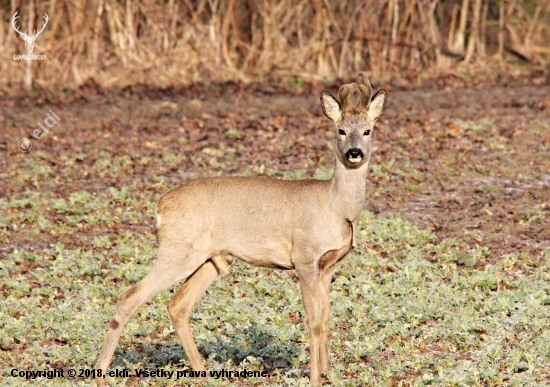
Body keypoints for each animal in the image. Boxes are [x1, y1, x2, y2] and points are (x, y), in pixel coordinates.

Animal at [95, 72, 388, 384]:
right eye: (341, 130)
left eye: (368, 130)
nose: (354, 152)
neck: (336, 207)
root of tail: (161, 205)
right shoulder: (305, 258)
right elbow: (313, 322)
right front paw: (315, 379)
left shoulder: (329, 267)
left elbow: (325, 318)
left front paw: (328, 373)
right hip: (178, 251)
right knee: (129, 298)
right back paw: (101, 374)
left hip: (211, 259)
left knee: (178, 305)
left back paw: (204, 373)